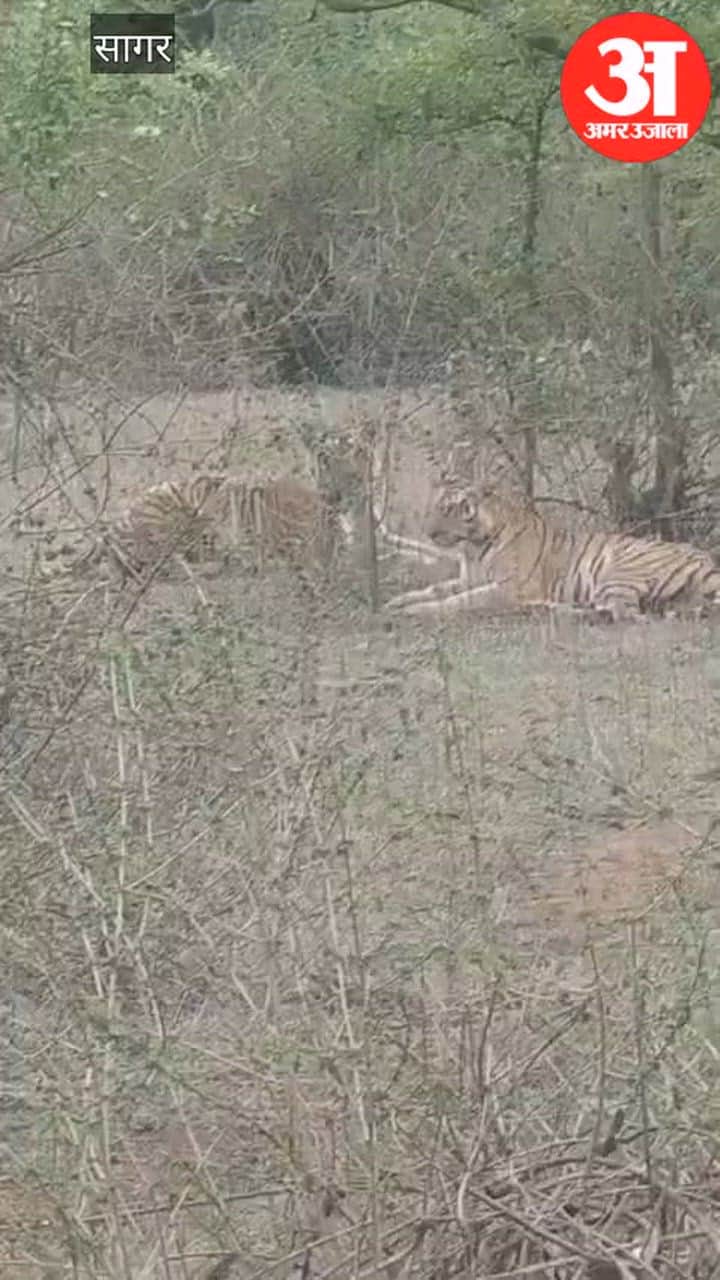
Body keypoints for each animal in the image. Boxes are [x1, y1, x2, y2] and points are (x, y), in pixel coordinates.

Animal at [385, 474, 720, 621]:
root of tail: (709, 562)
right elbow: (433, 589)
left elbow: (460, 600)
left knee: (623, 613)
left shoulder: (510, 587)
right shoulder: (469, 578)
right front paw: (396, 602)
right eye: (436, 507)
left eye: (451, 508)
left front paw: (414, 611)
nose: (429, 533)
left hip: (618, 572)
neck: (473, 545)